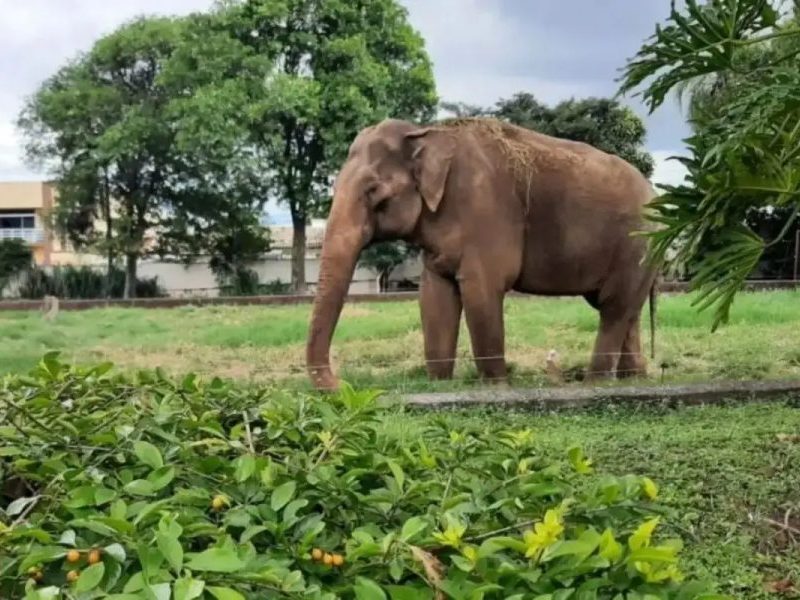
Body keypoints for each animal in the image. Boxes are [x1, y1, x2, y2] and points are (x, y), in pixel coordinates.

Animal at [306, 117, 658, 391]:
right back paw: (632, 378)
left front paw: (496, 387)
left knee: (613, 307)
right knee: (625, 309)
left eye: (373, 191)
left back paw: (595, 382)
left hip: (636, 245)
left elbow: (481, 292)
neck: (426, 132)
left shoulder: (485, 212)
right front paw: (439, 384)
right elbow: (434, 297)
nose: (344, 385)